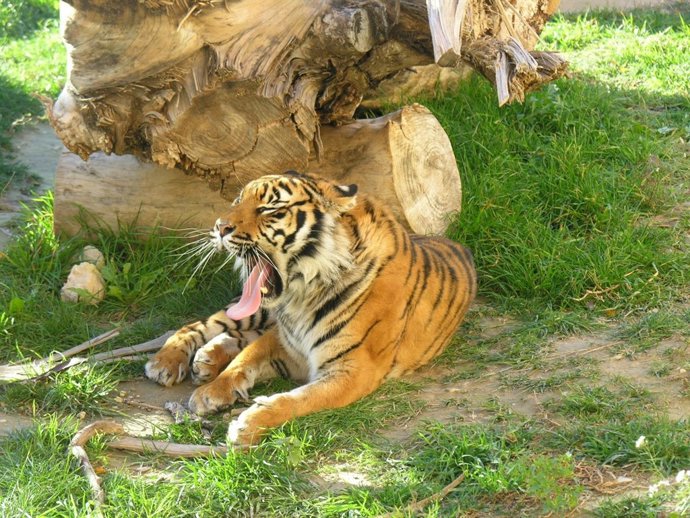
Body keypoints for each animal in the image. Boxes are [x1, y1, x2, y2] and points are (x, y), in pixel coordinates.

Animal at [145, 171, 476, 448]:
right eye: (238, 201)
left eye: (270, 210)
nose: (219, 227)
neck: (303, 296)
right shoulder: (287, 341)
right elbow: (246, 357)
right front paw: (211, 393)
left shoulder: (353, 369)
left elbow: (297, 399)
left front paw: (249, 423)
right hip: (257, 312)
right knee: (202, 326)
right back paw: (165, 362)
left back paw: (206, 360)